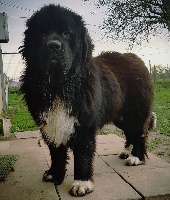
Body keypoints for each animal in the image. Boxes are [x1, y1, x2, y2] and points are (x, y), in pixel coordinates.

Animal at [19, 4, 156, 197]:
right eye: (41, 34)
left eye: (67, 34)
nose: (53, 45)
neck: (59, 86)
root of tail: (136, 58)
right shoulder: (49, 123)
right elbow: (56, 151)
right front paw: (54, 174)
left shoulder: (84, 124)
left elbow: (83, 154)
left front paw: (82, 183)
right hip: (120, 115)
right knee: (131, 132)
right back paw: (127, 151)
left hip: (135, 111)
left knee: (140, 133)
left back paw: (136, 157)